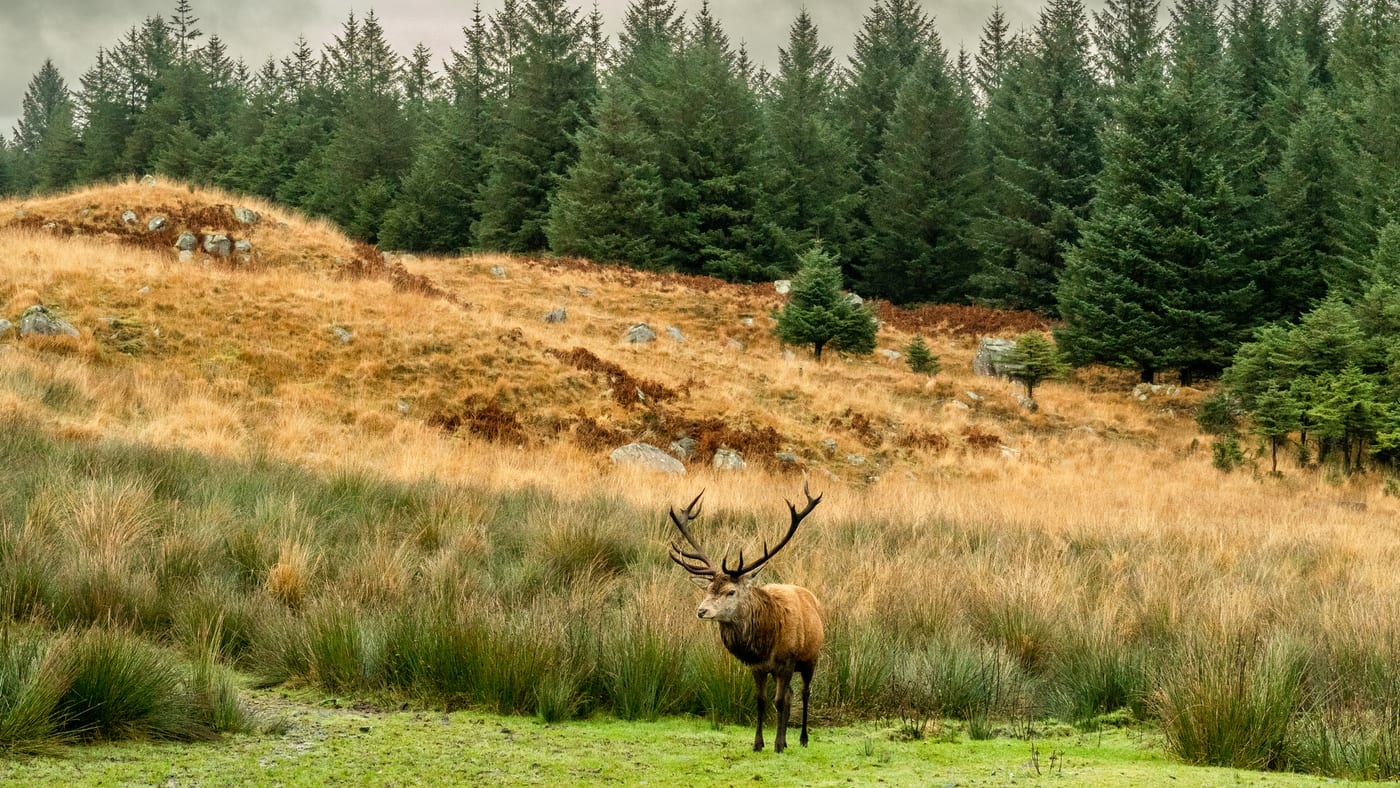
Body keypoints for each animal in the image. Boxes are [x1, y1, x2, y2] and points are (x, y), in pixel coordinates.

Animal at [667, 483, 824, 753]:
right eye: (708, 589)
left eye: (731, 591)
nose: (701, 611)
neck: (766, 644)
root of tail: (812, 598)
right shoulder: (757, 667)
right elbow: (761, 701)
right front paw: (759, 743)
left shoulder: (787, 661)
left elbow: (778, 701)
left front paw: (778, 745)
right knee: (791, 694)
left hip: (810, 659)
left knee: (804, 693)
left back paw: (803, 739)